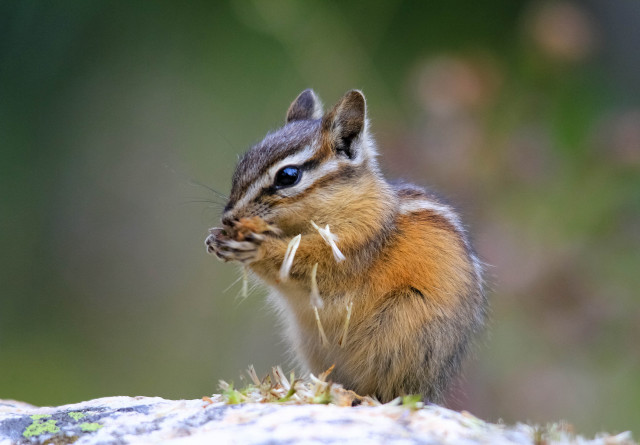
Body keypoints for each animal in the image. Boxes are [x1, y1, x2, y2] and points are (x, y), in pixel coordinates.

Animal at [205, 89, 486, 404]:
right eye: (242, 164)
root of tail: (432, 390)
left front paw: (257, 248)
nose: (229, 218)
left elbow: (307, 263)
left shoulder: (355, 244)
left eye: (288, 176)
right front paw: (215, 239)